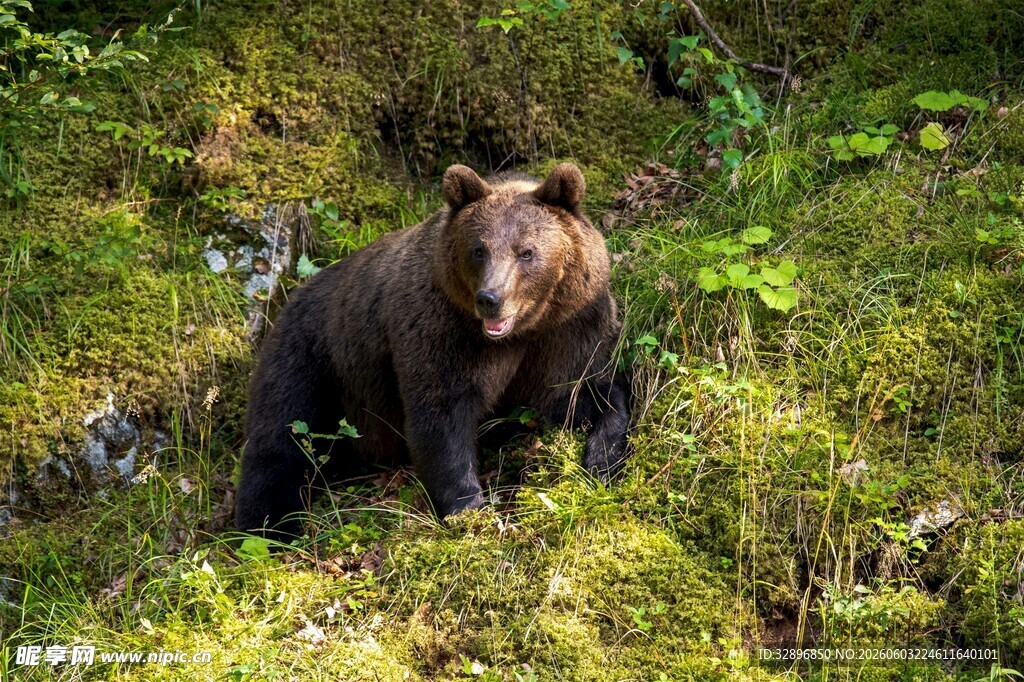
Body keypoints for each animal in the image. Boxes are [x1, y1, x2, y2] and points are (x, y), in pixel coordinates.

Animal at [235, 163, 630, 536]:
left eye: (526, 252)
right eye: (479, 249)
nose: (490, 299)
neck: (519, 332)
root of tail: (292, 297)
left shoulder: (567, 329)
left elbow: (577, 394)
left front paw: (601, 460)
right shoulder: (442, 330)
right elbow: (441, 414)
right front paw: (468, 507)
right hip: (312, 357)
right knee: (282, 437)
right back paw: (268, 526)